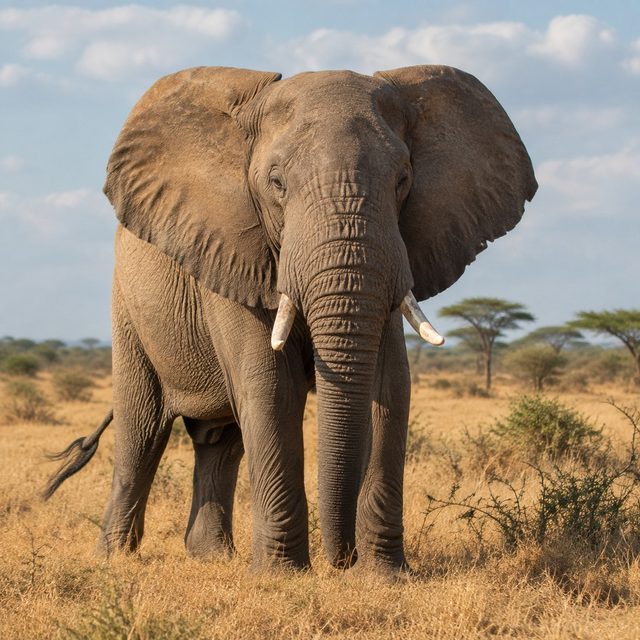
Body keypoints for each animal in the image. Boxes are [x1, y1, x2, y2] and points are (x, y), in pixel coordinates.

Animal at [45, 65, 536, 572]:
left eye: (403, 180)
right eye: (277, 183)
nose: (341, 561)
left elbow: (391, 387)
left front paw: (383, 576)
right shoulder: (231, 253)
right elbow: (270, 387)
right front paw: (282, 574)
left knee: (219, 441)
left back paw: (210, 557)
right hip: (128, 307)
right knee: (140, 431)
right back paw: (112, 558)